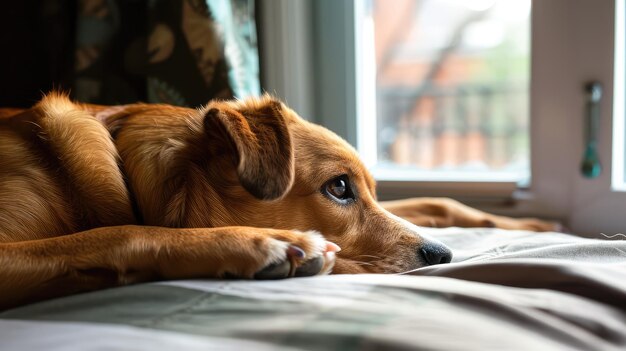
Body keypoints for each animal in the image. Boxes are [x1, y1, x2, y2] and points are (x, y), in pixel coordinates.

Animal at [0, 92, 556, 310]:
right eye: (338, 188)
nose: (442, 255)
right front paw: (260, 243)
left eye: (366, 188)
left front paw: (535, 224)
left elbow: (436, 201)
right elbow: (120, 231)